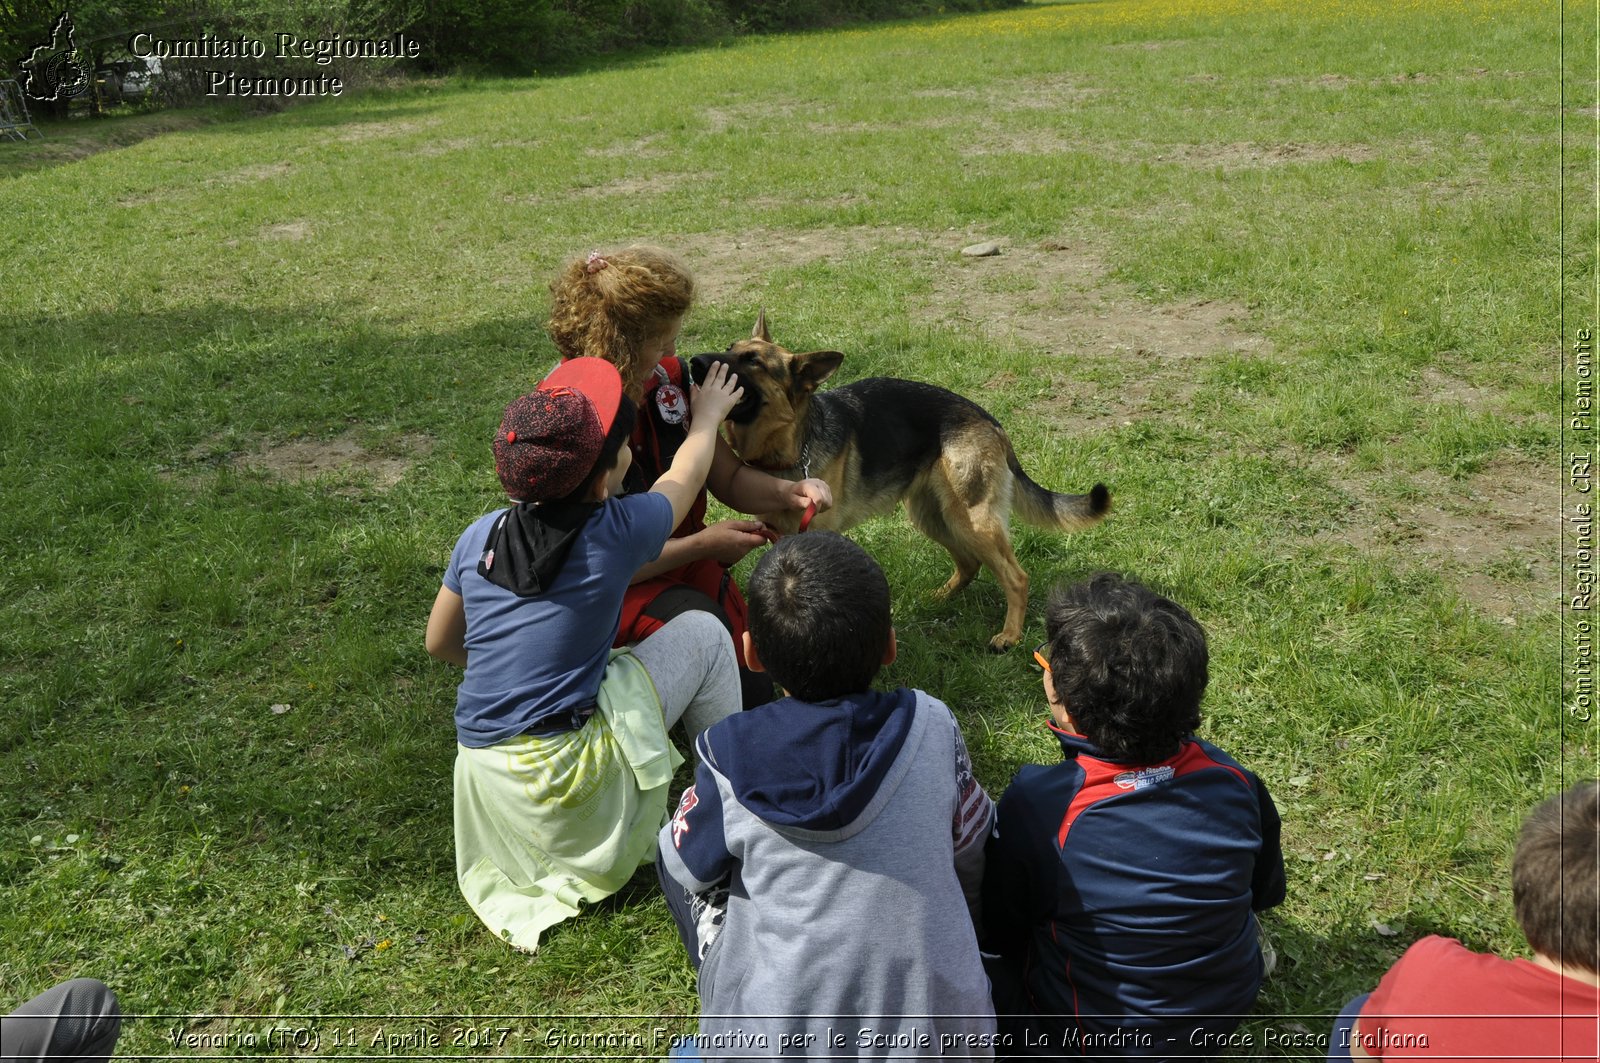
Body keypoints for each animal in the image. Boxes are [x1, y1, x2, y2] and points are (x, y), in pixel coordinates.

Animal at [688, 312, 1113, 653]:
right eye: (730, 348)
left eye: (753, 361)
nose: (693, 362)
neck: (792, 447)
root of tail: (989, 420)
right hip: (933, 516)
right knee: (969, 563)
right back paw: (939, 598)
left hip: (972, 521)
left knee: (1016, 577)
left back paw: (1009, 635)